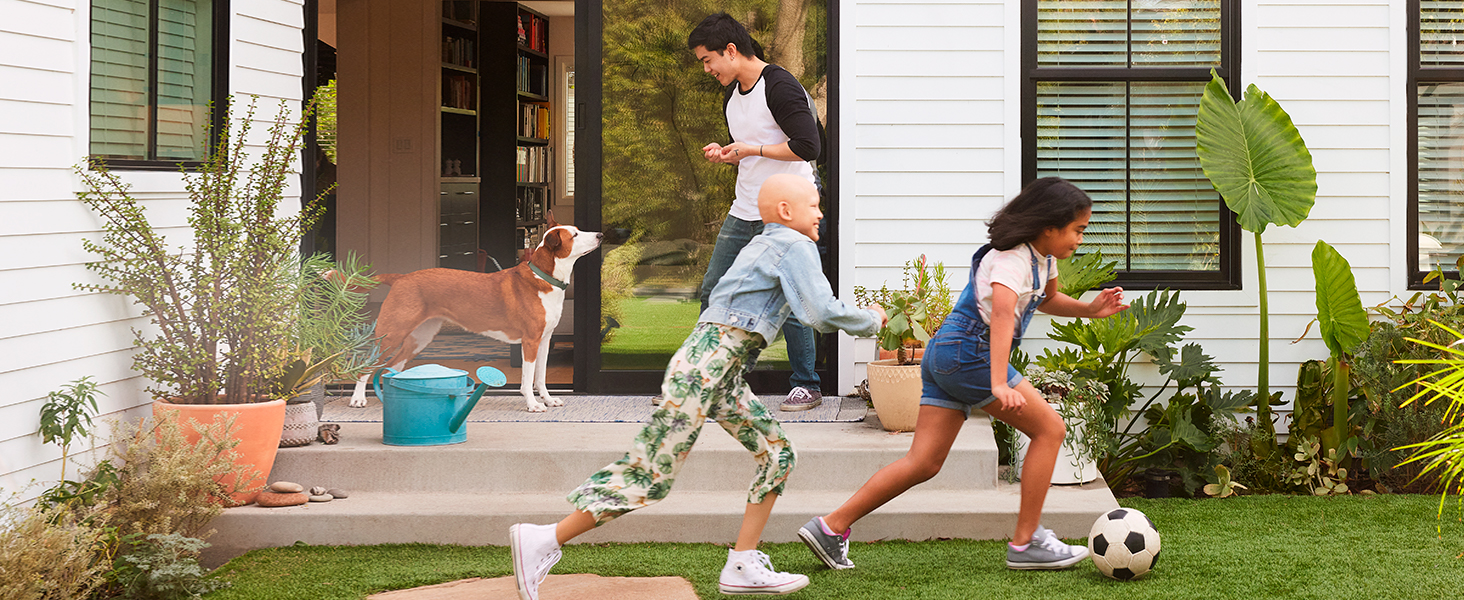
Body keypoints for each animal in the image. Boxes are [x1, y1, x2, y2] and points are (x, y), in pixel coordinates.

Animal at [348, 215, 600, 412]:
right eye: (575, 235)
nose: (599, 234)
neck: (544, 278)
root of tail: (400, 278)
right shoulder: (530, 341)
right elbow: (528, 380)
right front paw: (533, 404)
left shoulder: (545, 340)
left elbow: (540, 377)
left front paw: (547, 399)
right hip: (391, 334)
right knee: (366, 365)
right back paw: (358, 398)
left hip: (419, 338)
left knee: (394, 367)